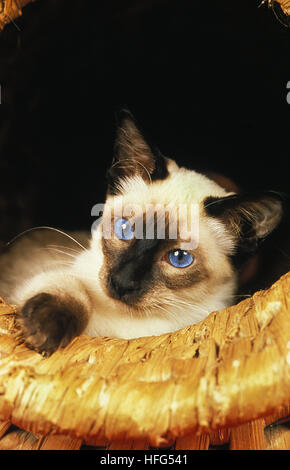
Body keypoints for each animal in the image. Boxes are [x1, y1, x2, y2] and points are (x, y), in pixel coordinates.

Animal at [0, 109, 284, 352]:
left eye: (179, 258)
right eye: (125, 229)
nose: (122, 283)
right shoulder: (44, 279)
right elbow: (72, 288)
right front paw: (44, 333)